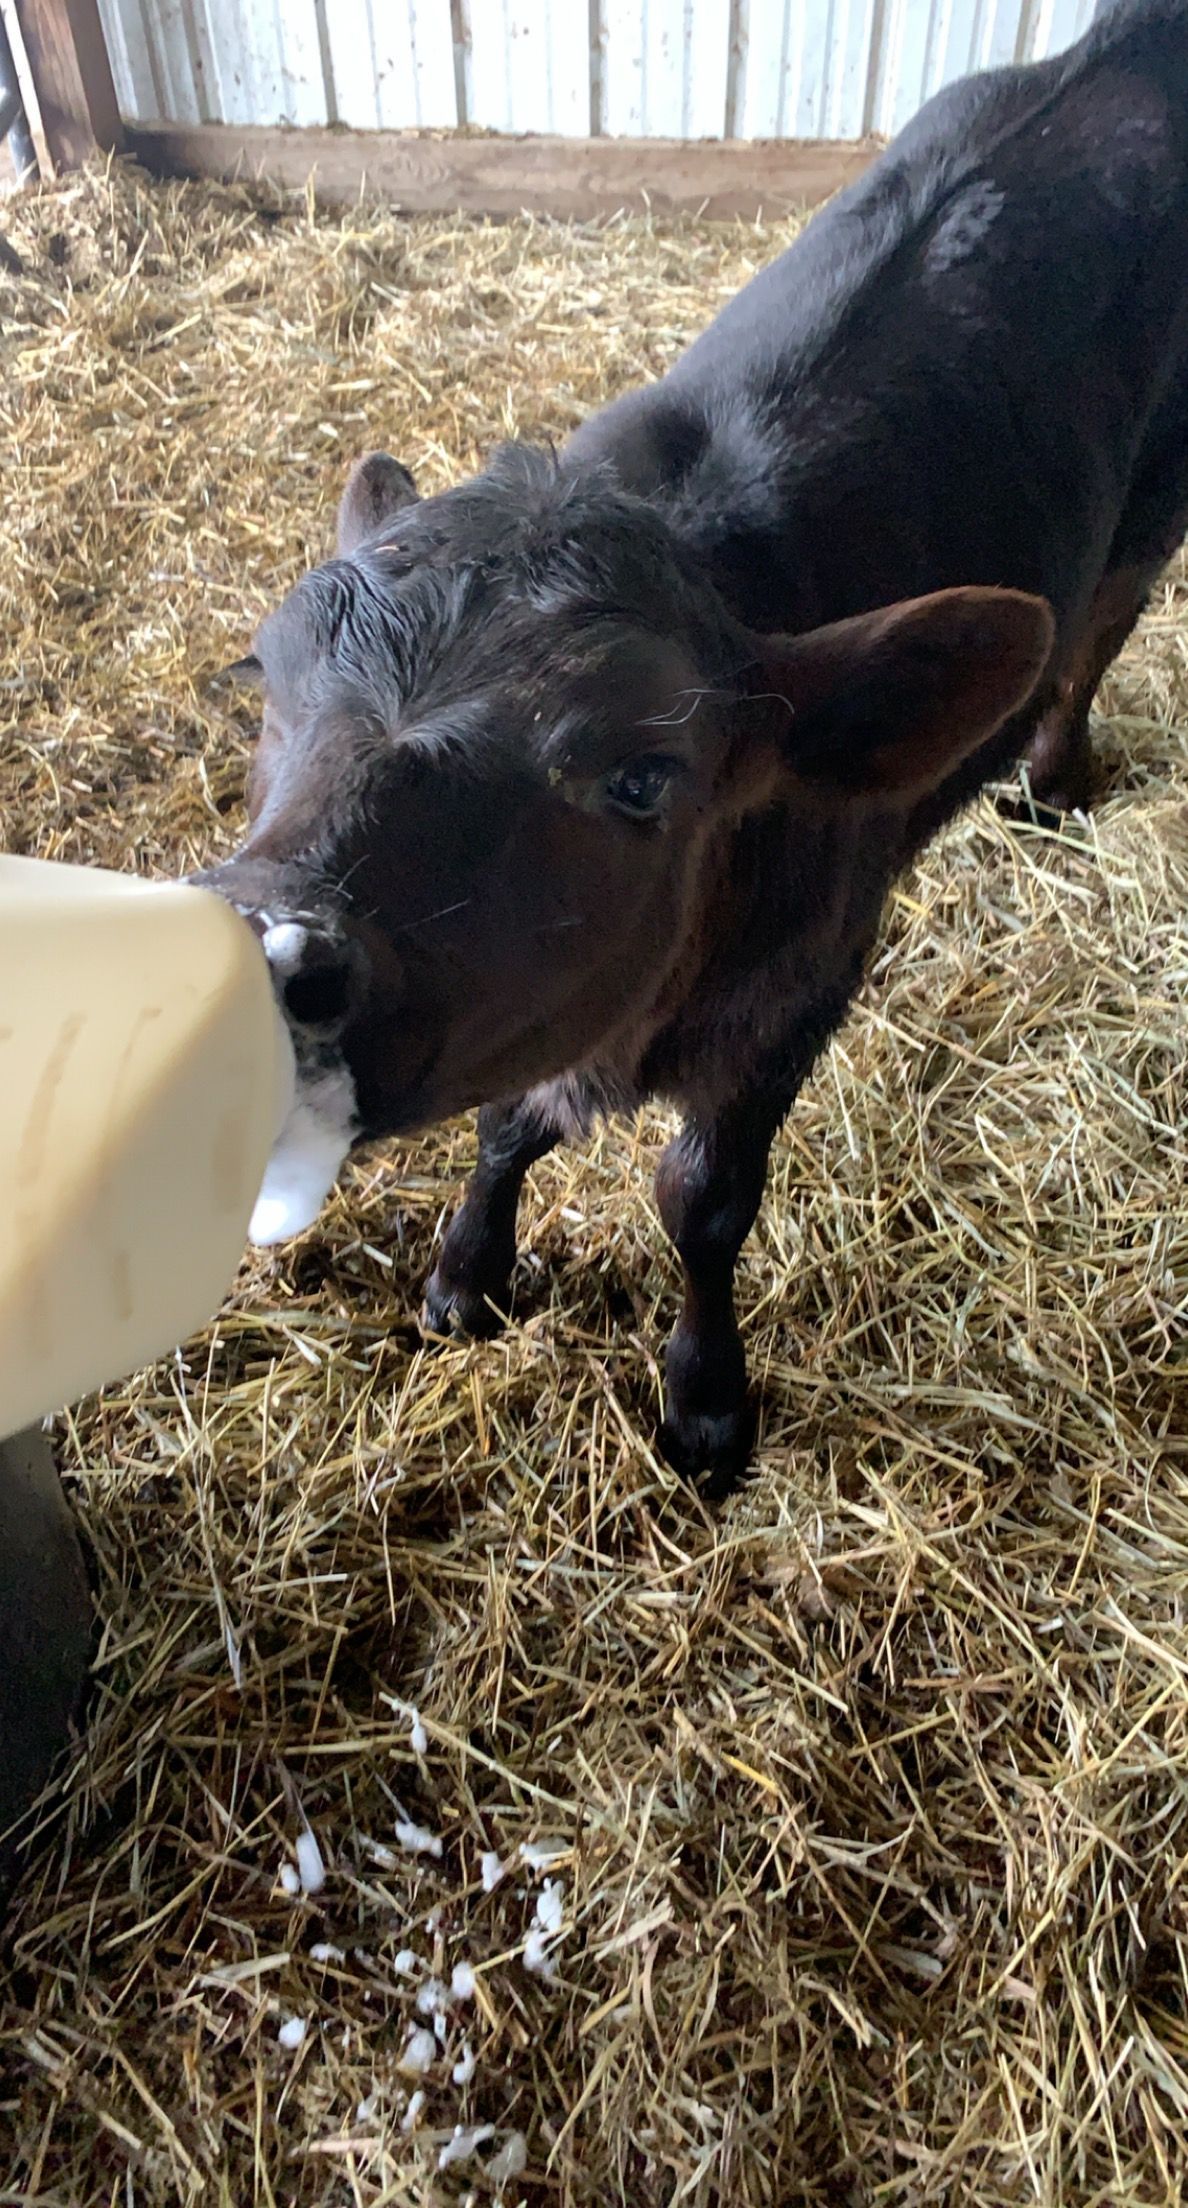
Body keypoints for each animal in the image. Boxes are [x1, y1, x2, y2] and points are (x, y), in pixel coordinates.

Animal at [198, 0, 1188, 1490]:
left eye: (640, 775)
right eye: (266, 676)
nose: (259, 953)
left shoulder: (802, 988)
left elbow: (704, 1198)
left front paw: (706, 1399)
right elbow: (508, 1118)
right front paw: (468, 1270)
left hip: (1162, 498)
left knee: (1104, 623)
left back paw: (1051, 776)